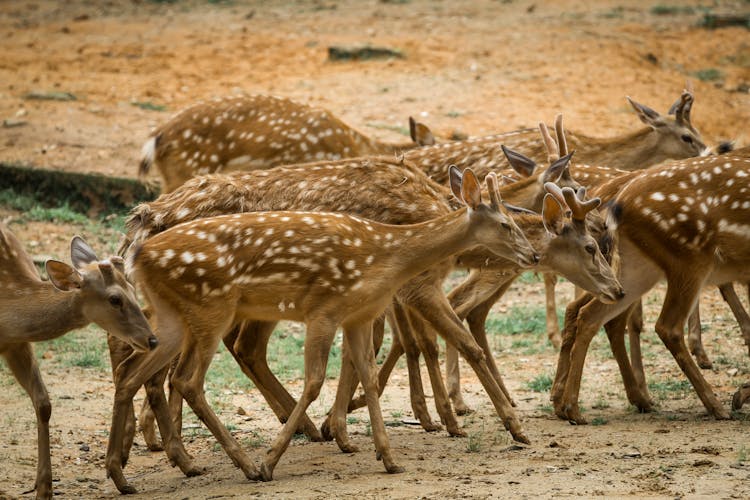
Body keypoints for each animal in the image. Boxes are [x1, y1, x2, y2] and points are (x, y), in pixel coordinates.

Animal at [0, 227, 156, 500]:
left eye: (132, 287)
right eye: (115, 299)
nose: (152, 339)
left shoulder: (15, 343)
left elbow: (43, 403)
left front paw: (44, 489)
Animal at [552, 147, 750, 422]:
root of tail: (619, 202)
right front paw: (739, 395)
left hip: (637, 269)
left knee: (588, 314)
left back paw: (571, 407)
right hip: (689, 258)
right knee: (666, 326)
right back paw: (714, 406)